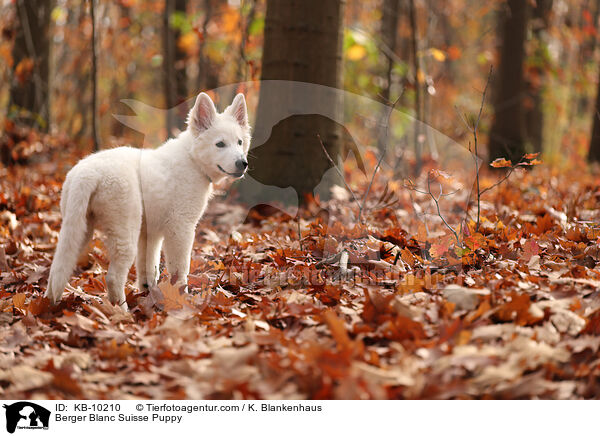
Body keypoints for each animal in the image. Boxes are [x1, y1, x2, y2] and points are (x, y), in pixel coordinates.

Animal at [45, 92, 251, 310]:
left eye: (239, 142)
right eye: (220, 144)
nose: (243, 163)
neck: (192, 160)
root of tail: (88, 173)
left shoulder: (150, 234)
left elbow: (148, 269)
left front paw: (149, 294)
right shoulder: (180, 228)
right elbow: (179, 270)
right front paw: (181, 300)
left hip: (78, 228)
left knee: (57, 268)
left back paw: (49, 305)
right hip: (125, 229)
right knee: (113, 278)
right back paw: (122, 312)